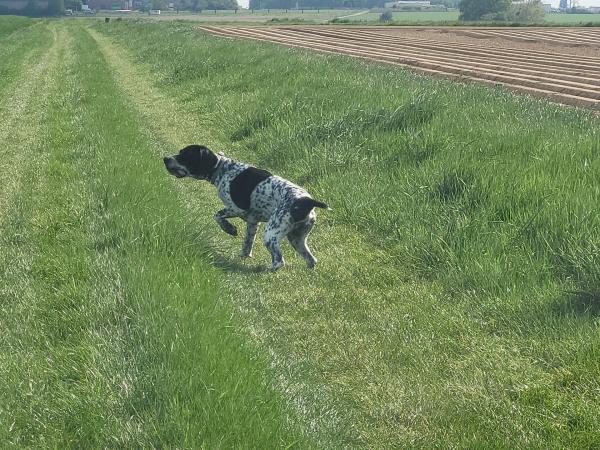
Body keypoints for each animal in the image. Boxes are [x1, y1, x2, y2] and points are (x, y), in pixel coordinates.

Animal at [164, 145, 328, 270]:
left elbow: (217, 215)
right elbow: (247, 244)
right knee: (311, 260)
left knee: (279, 261)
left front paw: (230, 229)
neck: (223, 169)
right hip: (296, 238)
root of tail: (307, 201)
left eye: (184, 155)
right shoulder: (253, 222)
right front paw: (243, 257)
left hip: (271, 234)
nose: (165, 158)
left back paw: (263, 270)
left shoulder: (236, 208)